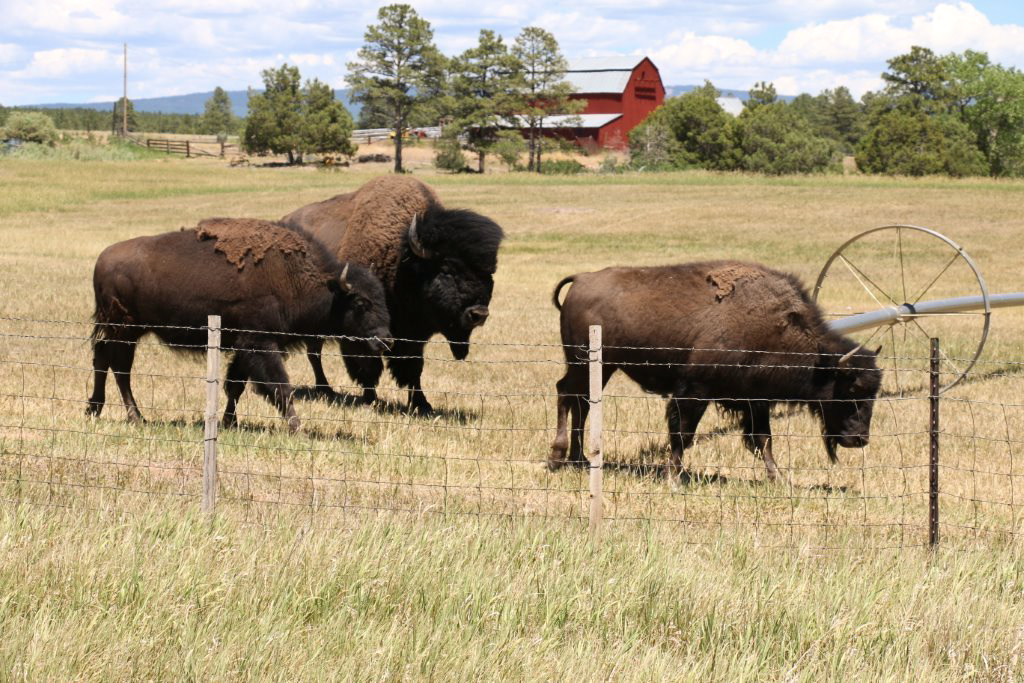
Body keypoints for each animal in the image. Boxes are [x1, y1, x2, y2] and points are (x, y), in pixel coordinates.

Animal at [87, 218, 391, 432]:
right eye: (360, 303)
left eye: (381, 298)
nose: (386, 340)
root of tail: (102, 259)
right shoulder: (260, 345)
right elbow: (280, 387)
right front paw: (297, 428)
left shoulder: (243, 347)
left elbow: (236, 385)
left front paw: (229, 422)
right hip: (125, 330)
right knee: (120, 369)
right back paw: (136, 417)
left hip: (123, 331)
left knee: (102, 358)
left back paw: (95, 409)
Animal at [280, 174, 503, 413]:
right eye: (447, 269)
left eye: (490, 273)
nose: (479, 314)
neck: (403, 262)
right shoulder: (363, 329)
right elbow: (369, 364)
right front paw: (370, 400)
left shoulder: (413, 335)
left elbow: (414, 367)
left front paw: (422, 404)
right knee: (314, 353)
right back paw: (325, 389)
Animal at [548, 262, 884, 481]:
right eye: (851, 389)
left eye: (874, 393)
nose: (860, 439)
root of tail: (581, 279)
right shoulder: (694, 392)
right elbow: (683, 434)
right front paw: (673, 476)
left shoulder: (756, 401)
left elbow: (764, 439)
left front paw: (778, 478)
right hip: (583, 362)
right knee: (566, 394)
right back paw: (557, 458)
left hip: (601, 368)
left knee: (581, 402)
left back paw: (579, 459)